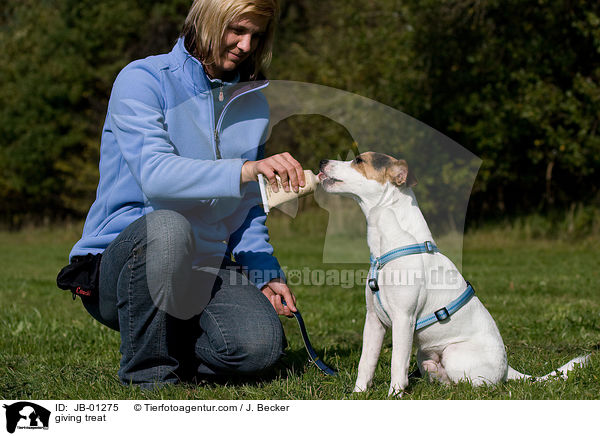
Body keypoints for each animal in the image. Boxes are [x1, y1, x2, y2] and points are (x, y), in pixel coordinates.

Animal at [318, 152, 592, 396]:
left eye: (359, 160)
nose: (321, 161)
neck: (389, 245)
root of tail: (508, 368)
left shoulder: (403, 319)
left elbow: (397, 364)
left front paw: (394, 394)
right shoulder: (374, 321)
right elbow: (366, 363)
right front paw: (358, 393)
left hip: (454, 355)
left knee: (478, 386)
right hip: (424, 355)